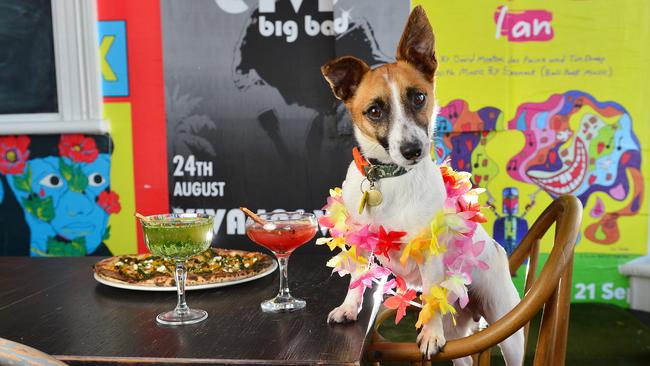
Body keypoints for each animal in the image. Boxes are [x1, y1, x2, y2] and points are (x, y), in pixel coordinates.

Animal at [322, 5, 524, 366]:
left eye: (418, 97)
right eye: (374, 110)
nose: (413, 149)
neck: (390, 177)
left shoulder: (429, 250)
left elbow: (430, 295)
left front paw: (429, 333)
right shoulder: (359, 241)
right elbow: (357, 279)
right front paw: (349, 308)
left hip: (508, 327)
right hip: (459, 332)